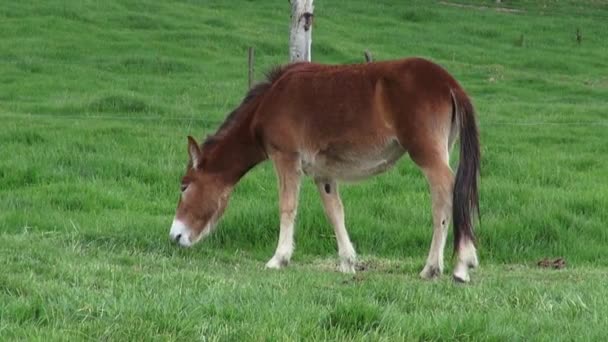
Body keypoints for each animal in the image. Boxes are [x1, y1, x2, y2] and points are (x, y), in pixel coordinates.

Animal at [170, 57, 480, 284]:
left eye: (184, 186)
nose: (175, 236)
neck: (272, 99)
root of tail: (449, 83)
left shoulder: (286, 158)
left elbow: (287, 206)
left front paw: (279, 258)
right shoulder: (323, 174)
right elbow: (335, 212)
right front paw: (347, 262)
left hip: (427, 155)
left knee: (446, 194)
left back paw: (448, 265)